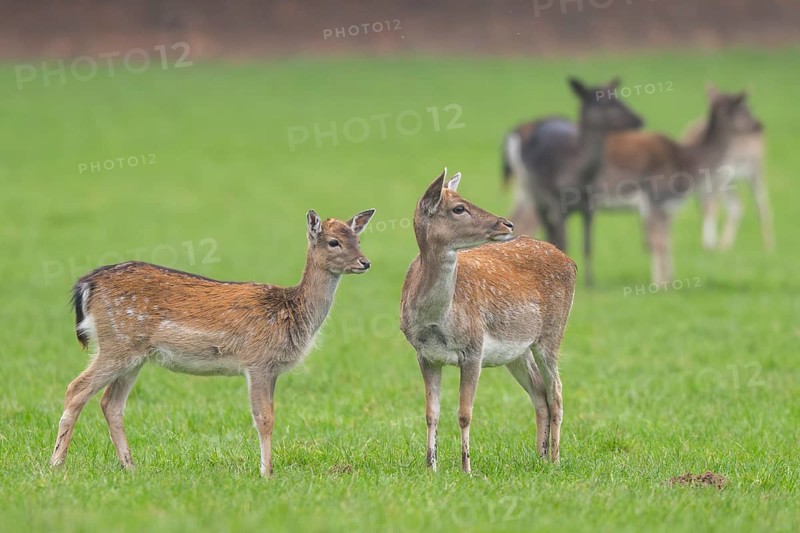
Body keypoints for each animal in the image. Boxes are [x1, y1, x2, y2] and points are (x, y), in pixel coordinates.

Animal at [49, 208, 375, 477]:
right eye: (333, 241)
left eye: (357, 238)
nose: (366, 262)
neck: (291, 312)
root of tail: (86, 285)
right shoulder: (257, 361)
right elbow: (263, 418)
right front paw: (266, 473)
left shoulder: (272, 369)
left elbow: (270, 415)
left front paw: (268, 469)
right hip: (117, 343)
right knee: (76, 389)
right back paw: (56, 464)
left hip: (134, 355)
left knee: (111, 404)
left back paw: (129, 466)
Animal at [400, 168, 577, 473]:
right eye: (459, 208)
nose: (507, 223)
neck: (436, 321)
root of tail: (571, 262)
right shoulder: (425, 355)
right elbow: (431, 413)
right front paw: (430, 467)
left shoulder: (474, 348)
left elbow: (464, 413)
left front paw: (466, 468)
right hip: (517, 351)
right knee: (540, 392)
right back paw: (539, 457)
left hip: (552, 334)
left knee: (556, 392)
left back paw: (554, 459)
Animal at [502, 77, 643, 286]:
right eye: (604, 102)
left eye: (618, 97)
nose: (639, 119)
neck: (577, 177)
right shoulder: (556, 202)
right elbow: (565, 241)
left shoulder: (590, 205)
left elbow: (587, 245)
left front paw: (590, 282)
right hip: (533, 191)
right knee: (545, 226)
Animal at [682, 85, 773, 251]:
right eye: (745, 109)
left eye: (749, 107)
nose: (760, 125)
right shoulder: (700, 183)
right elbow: (704, 209)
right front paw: (709, 244)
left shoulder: (717, 179)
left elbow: (712, 208)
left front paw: (709, 245)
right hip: (730, 181)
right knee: (737, 205)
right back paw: (725, 245)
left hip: (756, 170)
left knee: (761, 204)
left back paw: (768, 247)